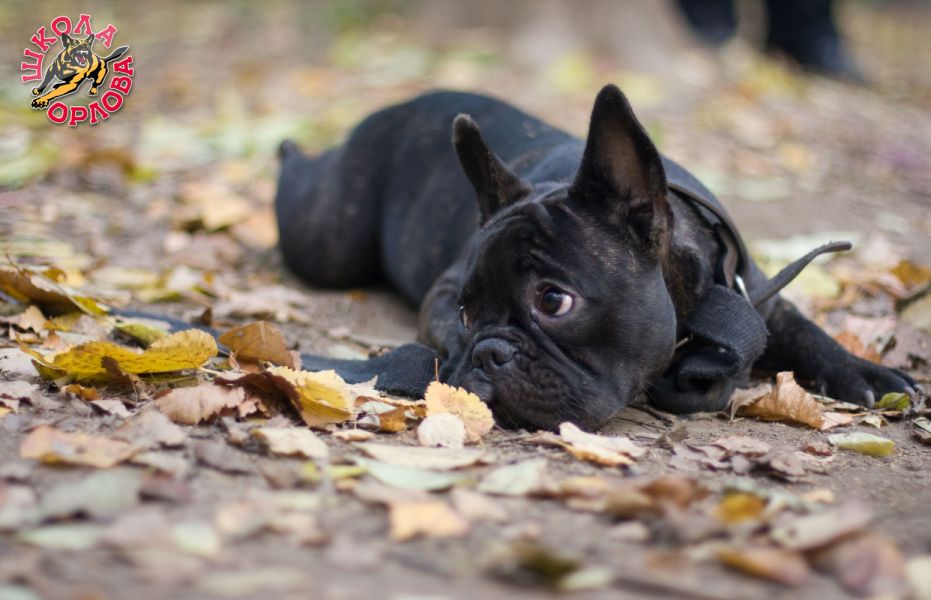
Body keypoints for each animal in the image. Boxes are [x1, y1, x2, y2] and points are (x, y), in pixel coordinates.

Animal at [275, 85, 915, 431]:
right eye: (464, 314)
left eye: (553, 301)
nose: (485, 354)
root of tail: (402, 102)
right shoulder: (440, 288)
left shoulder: (758, 301)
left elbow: (810, 333)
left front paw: (866, 373)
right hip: (327, 238)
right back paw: (286, 149)